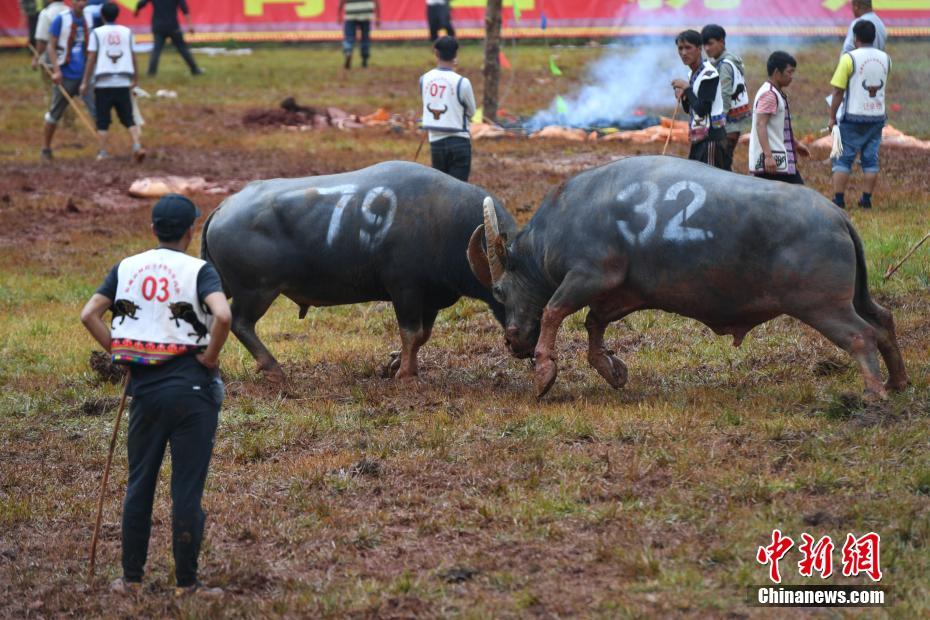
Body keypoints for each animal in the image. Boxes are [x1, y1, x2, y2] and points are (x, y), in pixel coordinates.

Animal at [202, 162, 516, 380]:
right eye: (500, 293)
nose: (519, 342)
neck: (443, 223)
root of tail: (223, 207)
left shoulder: (430, 299)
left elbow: (422, 336)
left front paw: (395, 362)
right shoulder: (405, 290)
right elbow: (411, 332)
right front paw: (406, 374)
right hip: (257, 290)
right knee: (240, 322)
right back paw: (273, 368)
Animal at [468, 154, 904, 398]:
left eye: (500, 290)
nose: (513, 342)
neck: (565, 218)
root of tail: (837, 215)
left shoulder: (589, 276)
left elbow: (554, 311)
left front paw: (544, 371)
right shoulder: (624, 292)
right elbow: (594, 324)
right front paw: (612, 369)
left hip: (823, 306)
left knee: (861, 335)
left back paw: (873, 394)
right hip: (855, 298)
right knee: (883, 321)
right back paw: (897, 382)